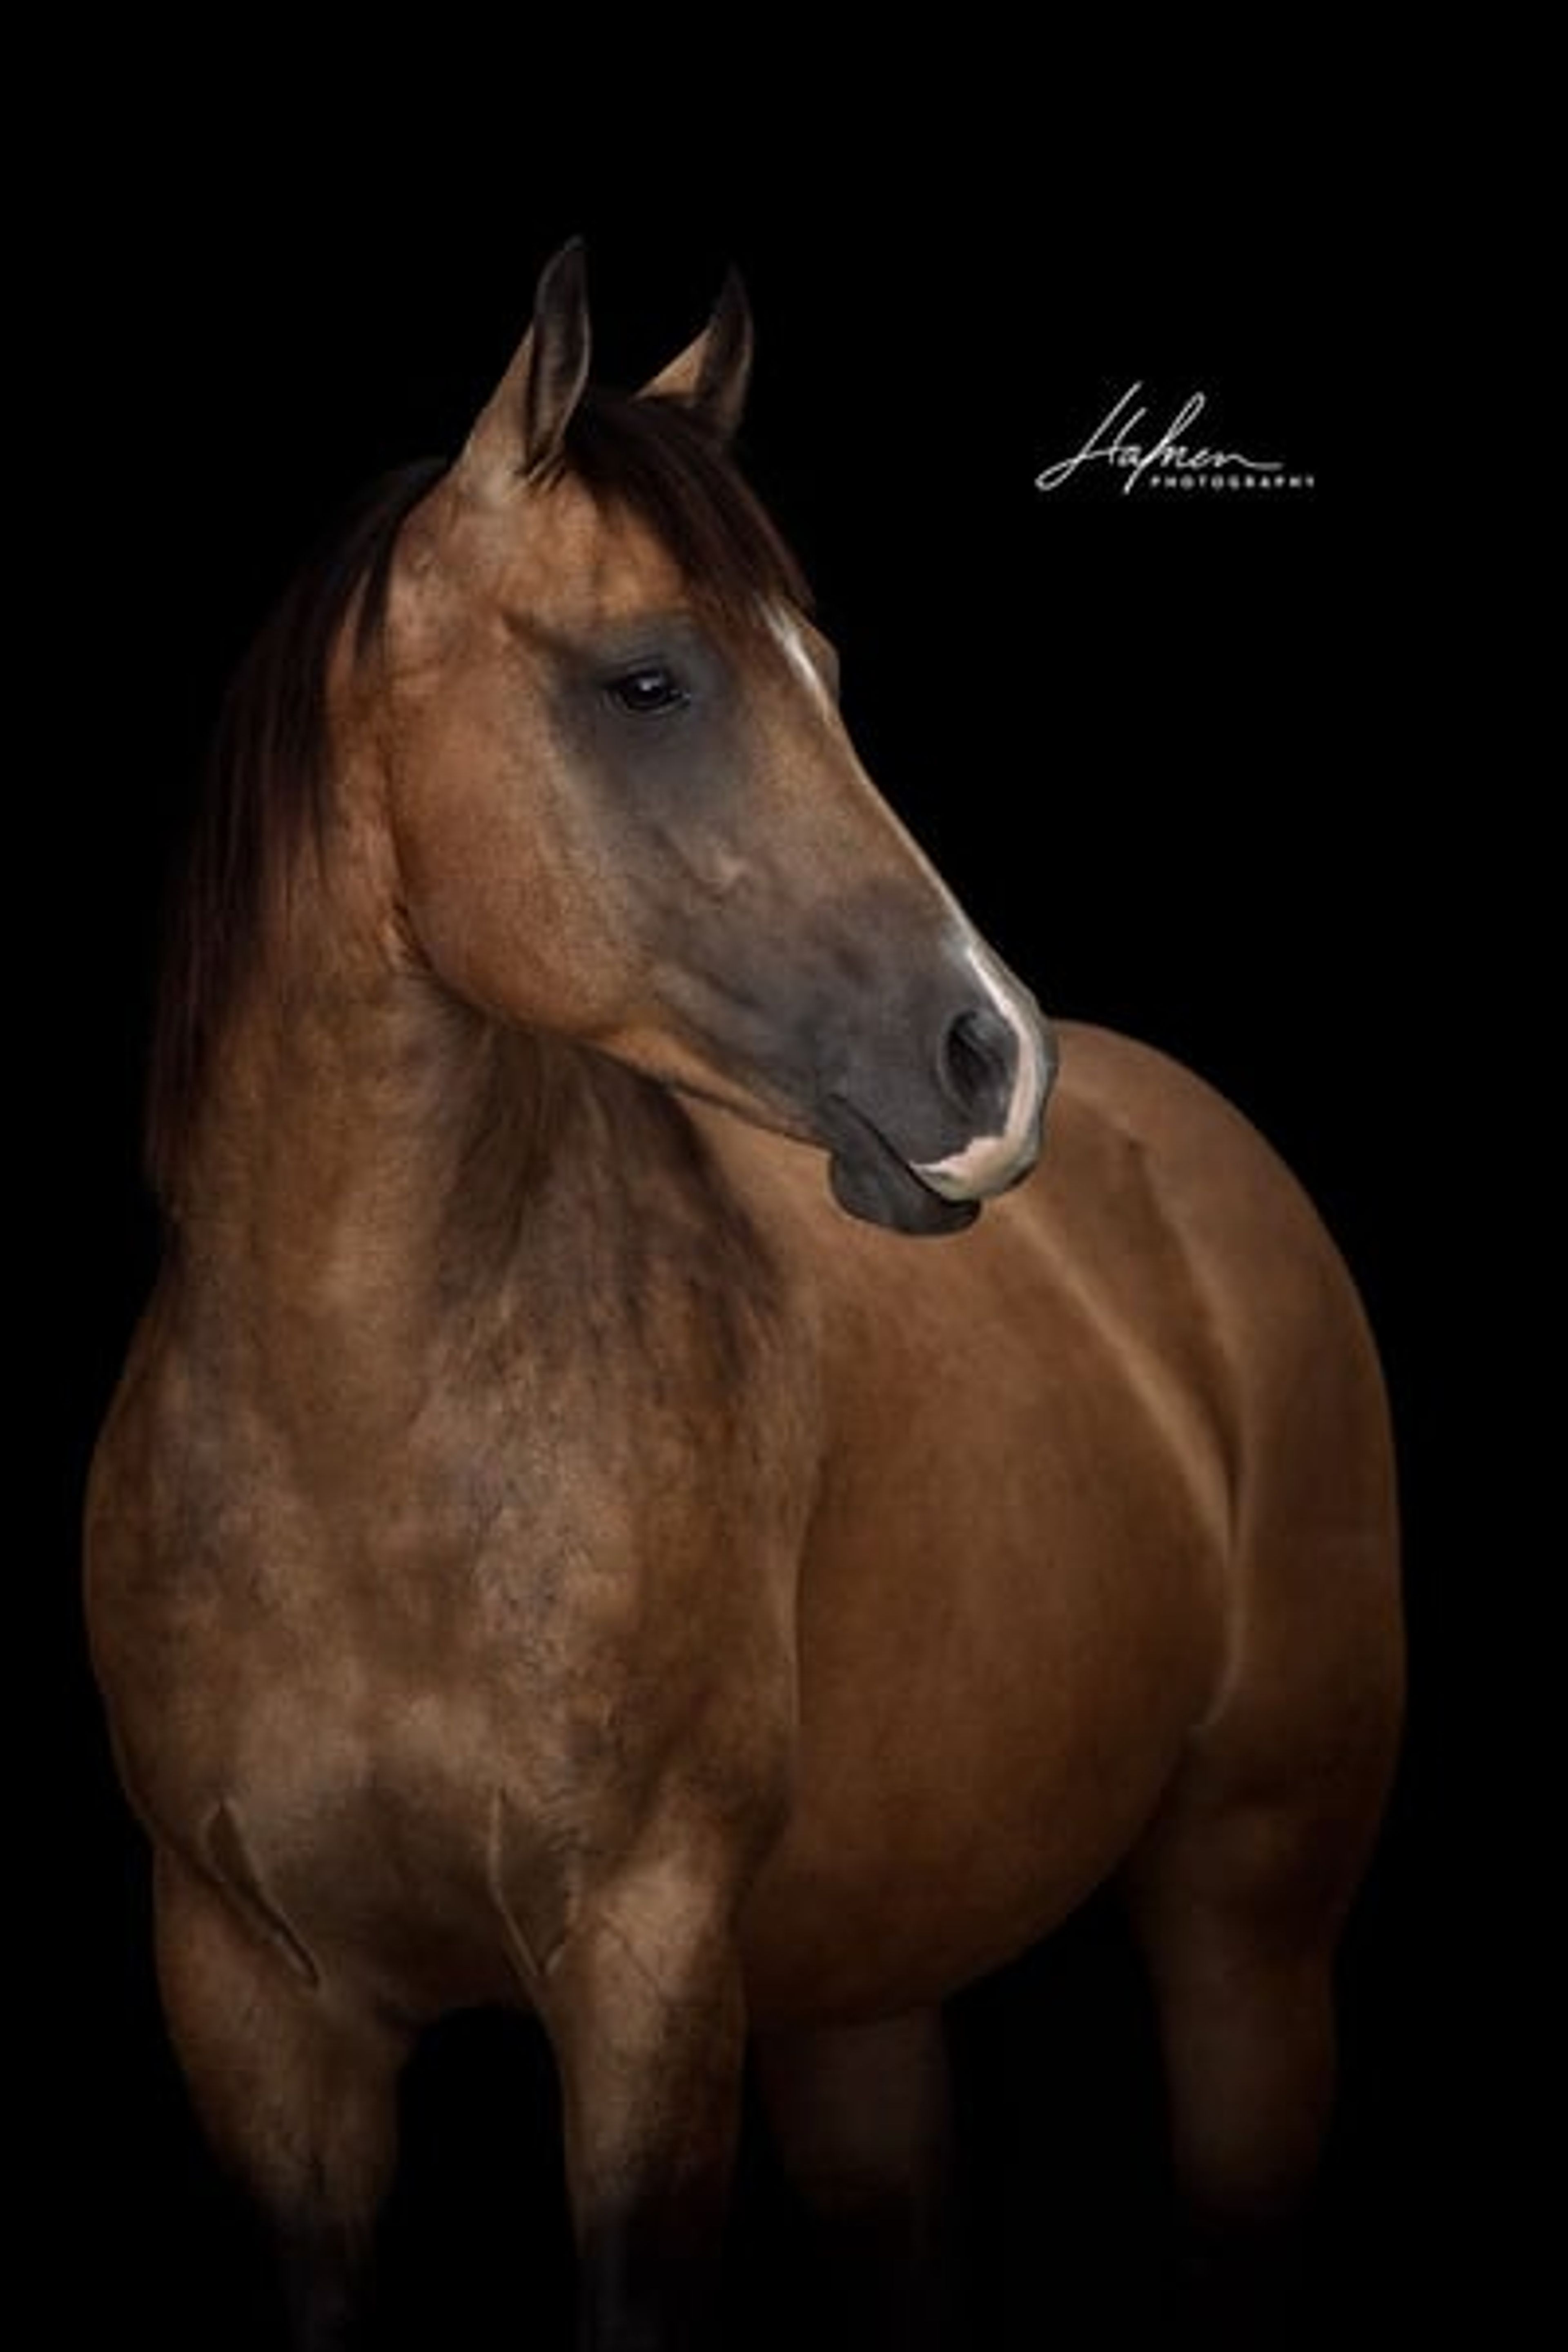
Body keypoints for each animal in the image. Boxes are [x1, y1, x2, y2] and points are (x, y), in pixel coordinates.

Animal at [84, 240, 1403, 2349]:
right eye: (648, 678)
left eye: (826, 677)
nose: (991, 1058)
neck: (359, 1463)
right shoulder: (258, 2019)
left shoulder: (643, 1989)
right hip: (862, 2004)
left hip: (1249, 1926)